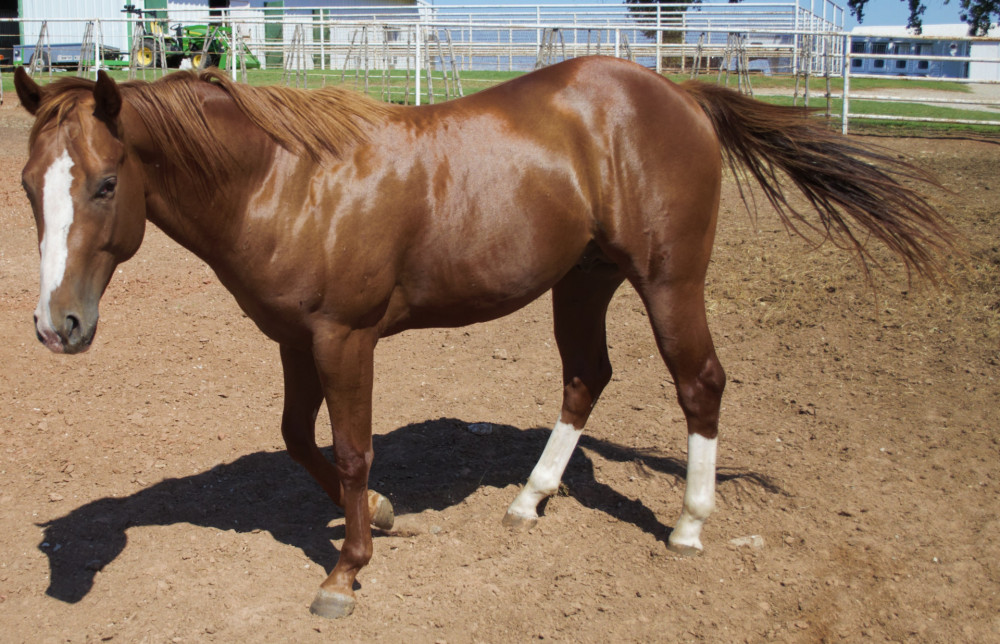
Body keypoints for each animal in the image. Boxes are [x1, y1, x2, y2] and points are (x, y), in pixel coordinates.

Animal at [12, 57, 950, 618]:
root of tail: (678, 93)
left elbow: (350, 449)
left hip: (669, 282)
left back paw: (688, 524)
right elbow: (295, 438)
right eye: (27, 184)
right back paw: (530, 498)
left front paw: (347, 570)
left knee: (700, 382)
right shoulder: (293, 340)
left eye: (105, 182)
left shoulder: (347, 339)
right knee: (585, 378)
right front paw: (380, 517)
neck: (289, 182)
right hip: (584, 278)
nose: (58, 327)